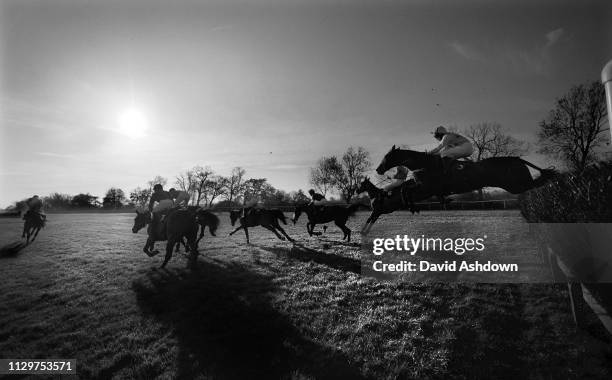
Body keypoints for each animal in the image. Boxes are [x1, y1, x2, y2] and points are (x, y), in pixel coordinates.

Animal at [376, 145, 556, 199]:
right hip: (515, 185)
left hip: (516, 184)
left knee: (537, 182)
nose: (378, 169)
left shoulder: (428, 188)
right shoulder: (422, 185)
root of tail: (518, 159)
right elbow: (405, 188)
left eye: (387, 156)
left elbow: (406, 190)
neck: (426, 164)